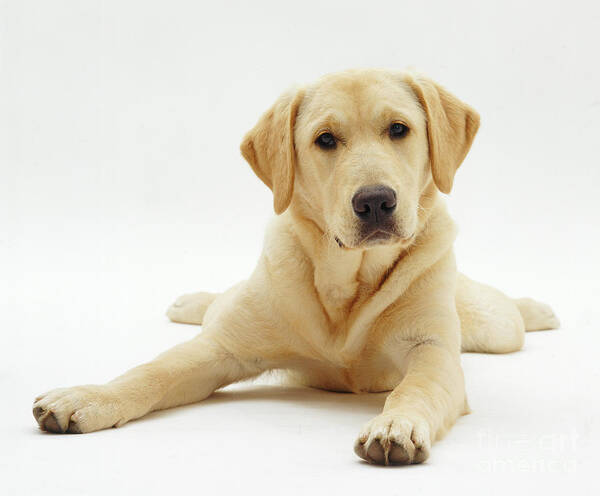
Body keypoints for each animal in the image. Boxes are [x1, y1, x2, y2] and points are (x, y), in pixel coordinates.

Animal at [31, 69, 556, 464]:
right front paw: (87, 397)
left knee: (505, 311)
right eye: (325, 139)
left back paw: (537, 308)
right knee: (218, 304)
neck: (348, 281)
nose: (375, 201)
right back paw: (192, 302)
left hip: (495, 328)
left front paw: (397, 424)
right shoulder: (223, 347)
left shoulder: (432, 351)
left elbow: (417, 388)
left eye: (399, 130)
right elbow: (151, 372)